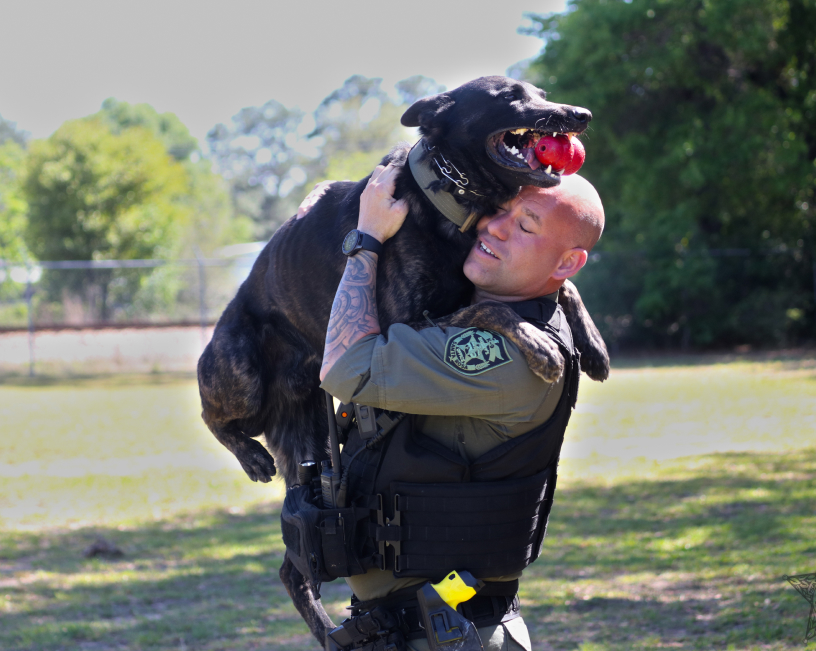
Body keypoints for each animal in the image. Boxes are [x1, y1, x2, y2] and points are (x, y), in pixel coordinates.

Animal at [196, 75, 604, 640]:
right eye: (510, 96)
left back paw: (325, 628)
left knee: (291, 566)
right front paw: (540, 340)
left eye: (542, 93)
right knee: (211, 412)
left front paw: (591, 340)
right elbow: (490, 307)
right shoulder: (404, 325)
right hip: (242, 374)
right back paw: (249, 454)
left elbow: (563, 285)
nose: (581, 113)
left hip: (310, 448)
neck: (446, 202)